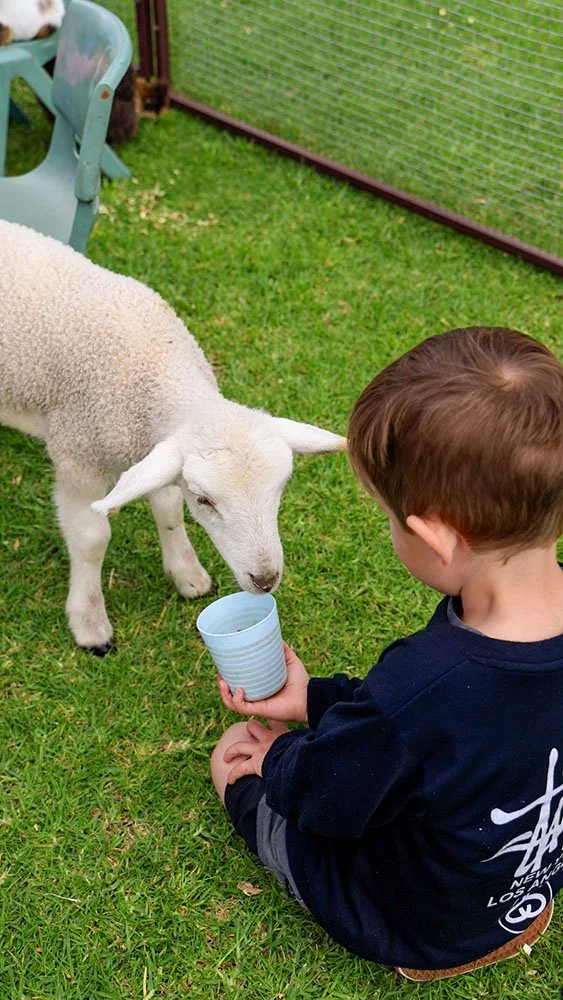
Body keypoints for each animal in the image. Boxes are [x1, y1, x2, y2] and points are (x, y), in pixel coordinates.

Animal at [0, 221, 346, 654]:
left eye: (282, 487)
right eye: (205, 500)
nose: (265, 580)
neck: (157, 372)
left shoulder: (155, 448)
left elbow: (167, 509)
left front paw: (187, 573)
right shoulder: (77, 454)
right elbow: (92, 539)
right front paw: (90, 623)